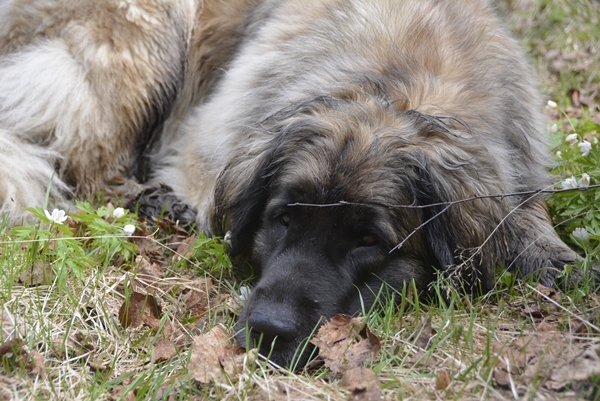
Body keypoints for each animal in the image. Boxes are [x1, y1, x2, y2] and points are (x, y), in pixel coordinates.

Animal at [1, 0, 580, 368]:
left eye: (368, 241)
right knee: (92, 156)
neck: (394, 88)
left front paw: (554, 260)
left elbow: (528, 214)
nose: (269, 330)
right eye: (281, 220)